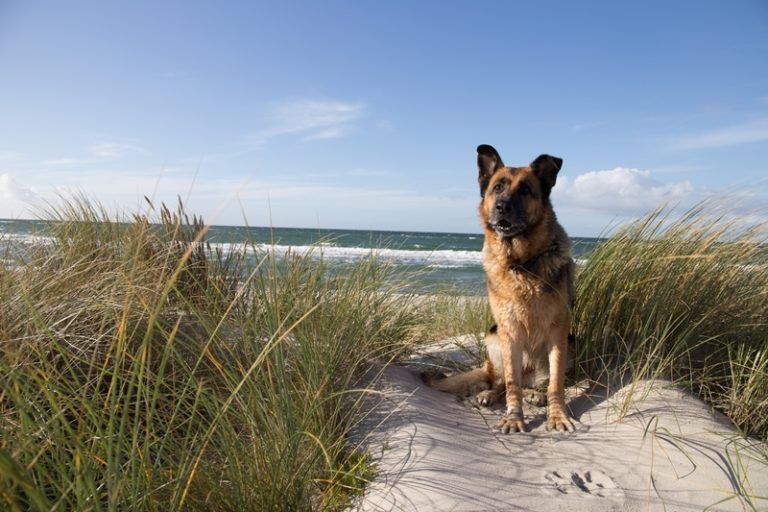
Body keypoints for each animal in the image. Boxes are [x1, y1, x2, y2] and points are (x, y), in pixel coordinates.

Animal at [424, 144, 572, 432]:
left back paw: (535, 395)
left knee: (537, 384)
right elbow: (512, 384)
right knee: (504, 382)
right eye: (497, 188)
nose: (503, 207)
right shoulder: (509, 330)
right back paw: (490, 394)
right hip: (494, 339)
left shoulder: (558, 332)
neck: (522, 263)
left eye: (525, 190)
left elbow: (556, 383)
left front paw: (557, 415)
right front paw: (514, 418)